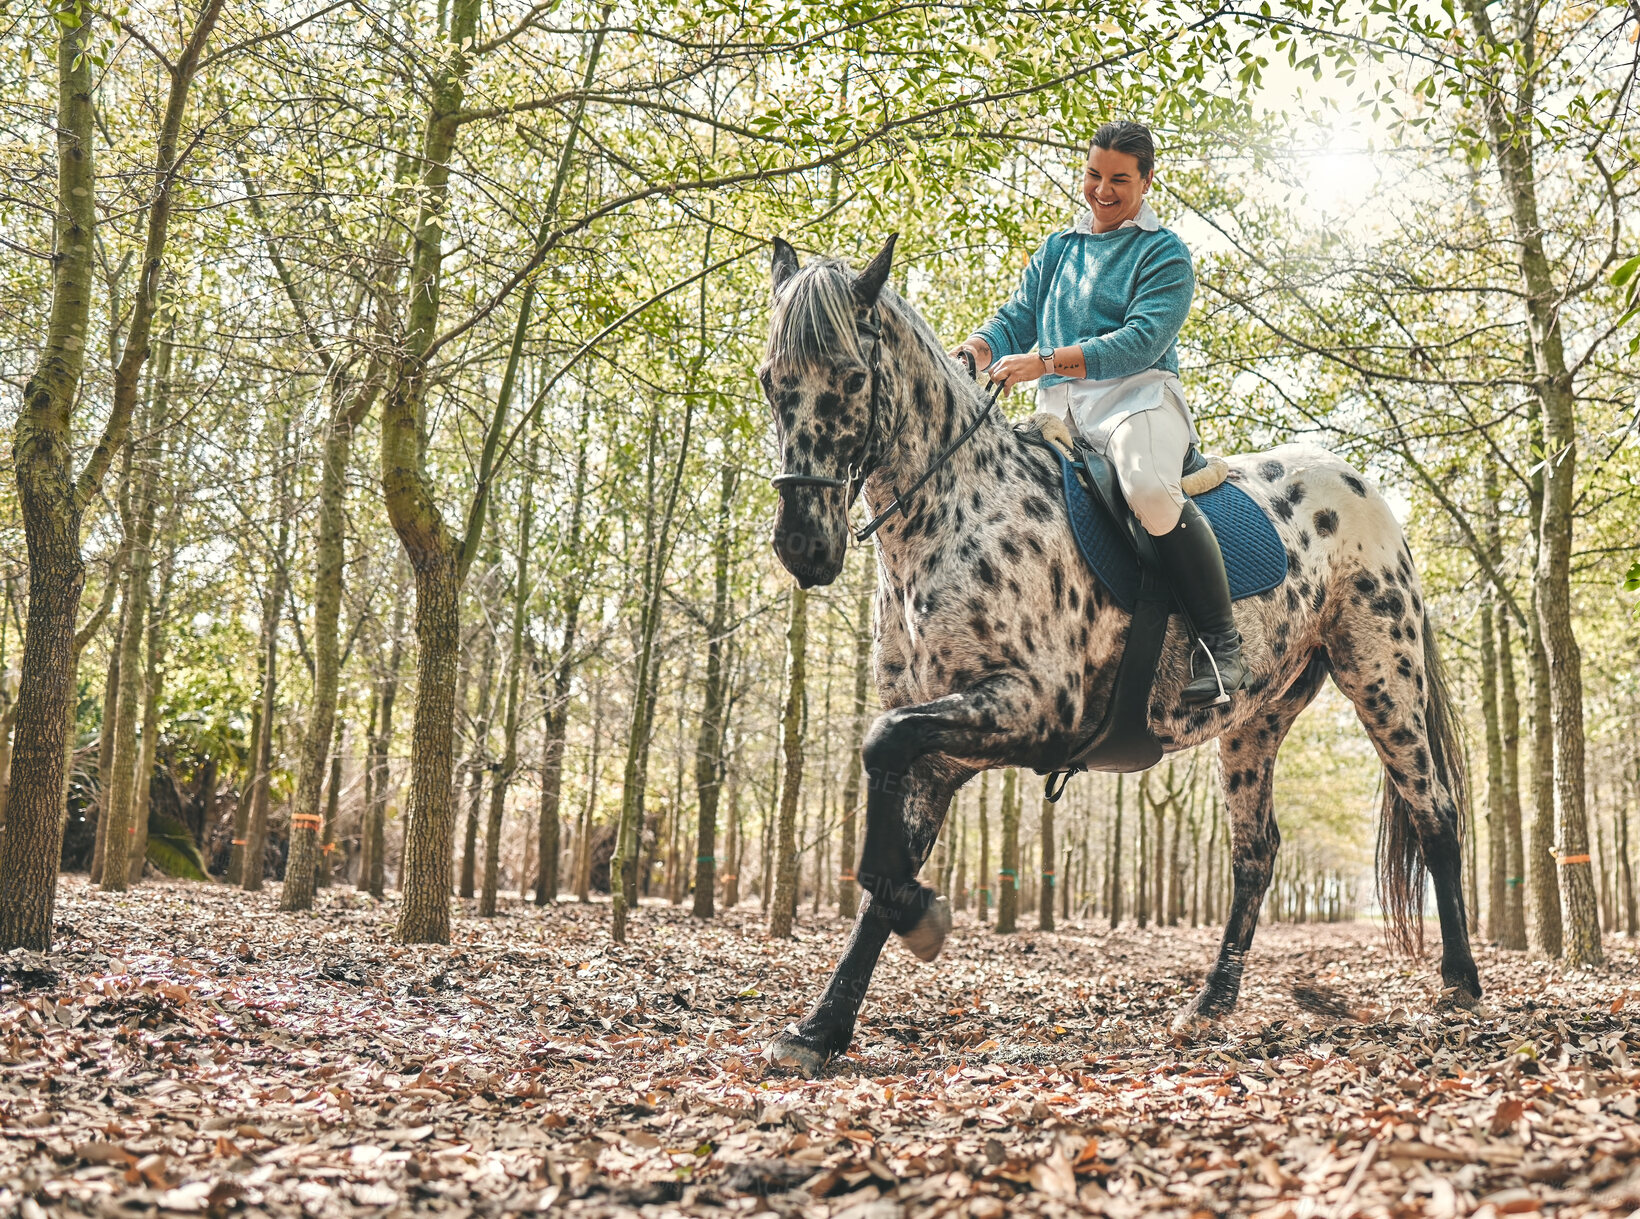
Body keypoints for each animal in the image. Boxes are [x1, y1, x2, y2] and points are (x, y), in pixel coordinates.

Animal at [760, 232, 1482, 1069]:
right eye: (770, 380)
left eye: (850, 376)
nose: (803, 545)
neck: (956, 511)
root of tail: (1365, 489)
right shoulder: (940, 742)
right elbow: (883, 861)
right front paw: (822, 1025)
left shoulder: (1030, 707)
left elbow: (881, 768)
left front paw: (916, 925)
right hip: (1256, 721)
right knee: (1256, 852)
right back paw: (1210, 1002)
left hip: (1381, 676)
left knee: (1433, 813)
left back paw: (1460, 984)